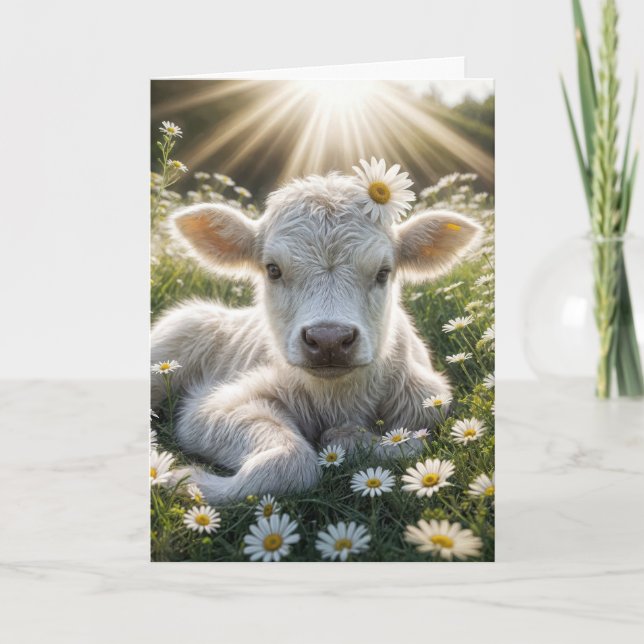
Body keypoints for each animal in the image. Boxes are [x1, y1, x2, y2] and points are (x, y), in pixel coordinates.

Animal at [151, 172, 481, 503]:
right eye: (273, 269)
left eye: (383, 272)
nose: (328, 340)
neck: (337, 399)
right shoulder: (212, 406)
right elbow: (291, 461)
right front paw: (182, 479)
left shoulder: (428, 403)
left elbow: (412, 444)